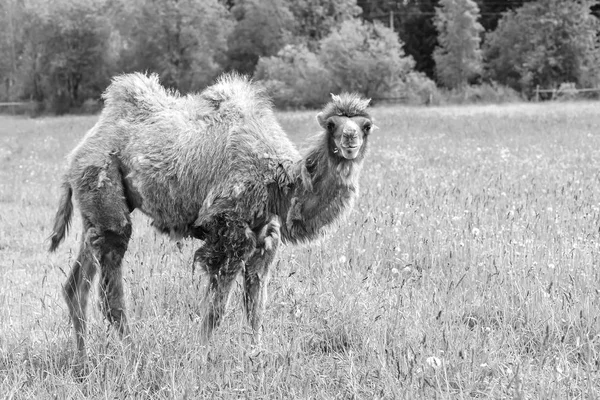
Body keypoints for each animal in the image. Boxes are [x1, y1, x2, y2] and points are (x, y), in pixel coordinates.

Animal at [48, 71, 376, 362]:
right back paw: (132, 355)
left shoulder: (264, 237)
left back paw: (83, 360)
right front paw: (200, 357)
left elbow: (255, 308)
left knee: (76, 286)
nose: (350, 139)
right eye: (332, 124)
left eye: (366, 125)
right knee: (110, 293)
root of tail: (76, 156)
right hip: (105, 188)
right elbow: (215, 311)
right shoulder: (228, 232)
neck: (278, 182)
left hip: (94, 213)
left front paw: (256, 356)